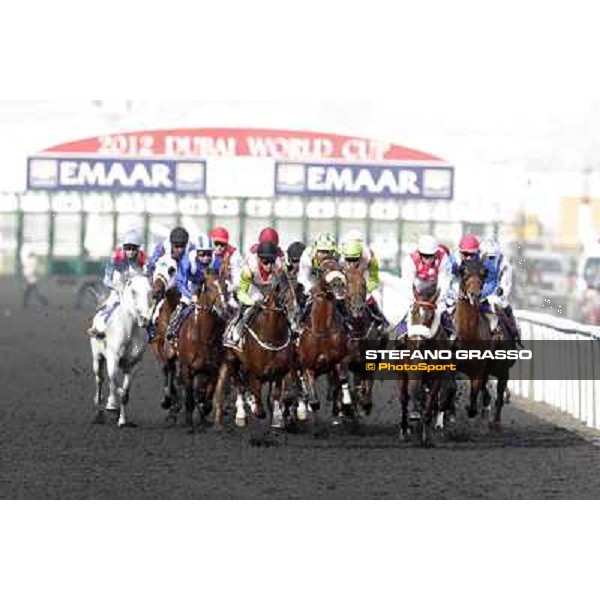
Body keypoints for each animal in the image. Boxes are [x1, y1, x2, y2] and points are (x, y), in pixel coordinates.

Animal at [91, 274, 154, 428]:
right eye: (133, 291)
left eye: (151, 292)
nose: (145, 319)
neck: (129, 331)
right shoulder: (113, 359)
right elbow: (115, 385)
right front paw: (112, 407)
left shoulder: (132, 365)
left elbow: (125, 393)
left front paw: (123, 420)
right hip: (97, 358)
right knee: (100, 380)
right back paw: (100, 410)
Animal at [177, 274, 229, 428]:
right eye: (210, 287)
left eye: (225, 285)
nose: (224, 309)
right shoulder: (187, 368)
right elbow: (189, 397)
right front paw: (189, 422)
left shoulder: (213, 369)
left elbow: (208, 398)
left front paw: (204, 416)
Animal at [213, 272, 298, 432]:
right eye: (283, 291)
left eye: (299, 288)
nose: (296, 311)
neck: (272, 337)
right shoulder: (254, 372)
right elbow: (256, 392)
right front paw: (255, 407)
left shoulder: (280, 371)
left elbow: (276, 394)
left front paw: (277, 420)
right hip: (231, 359)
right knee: (238, 384)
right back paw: (239, 415)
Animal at [398, 282, 450, 446]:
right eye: (414, 312)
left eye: (431, 316)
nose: (418, 342)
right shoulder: (411, 366)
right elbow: (413, 389)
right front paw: (414, 416)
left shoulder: (438, 375)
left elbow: (431, 400)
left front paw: (426, 436)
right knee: (404, 398)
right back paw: (405, 429)